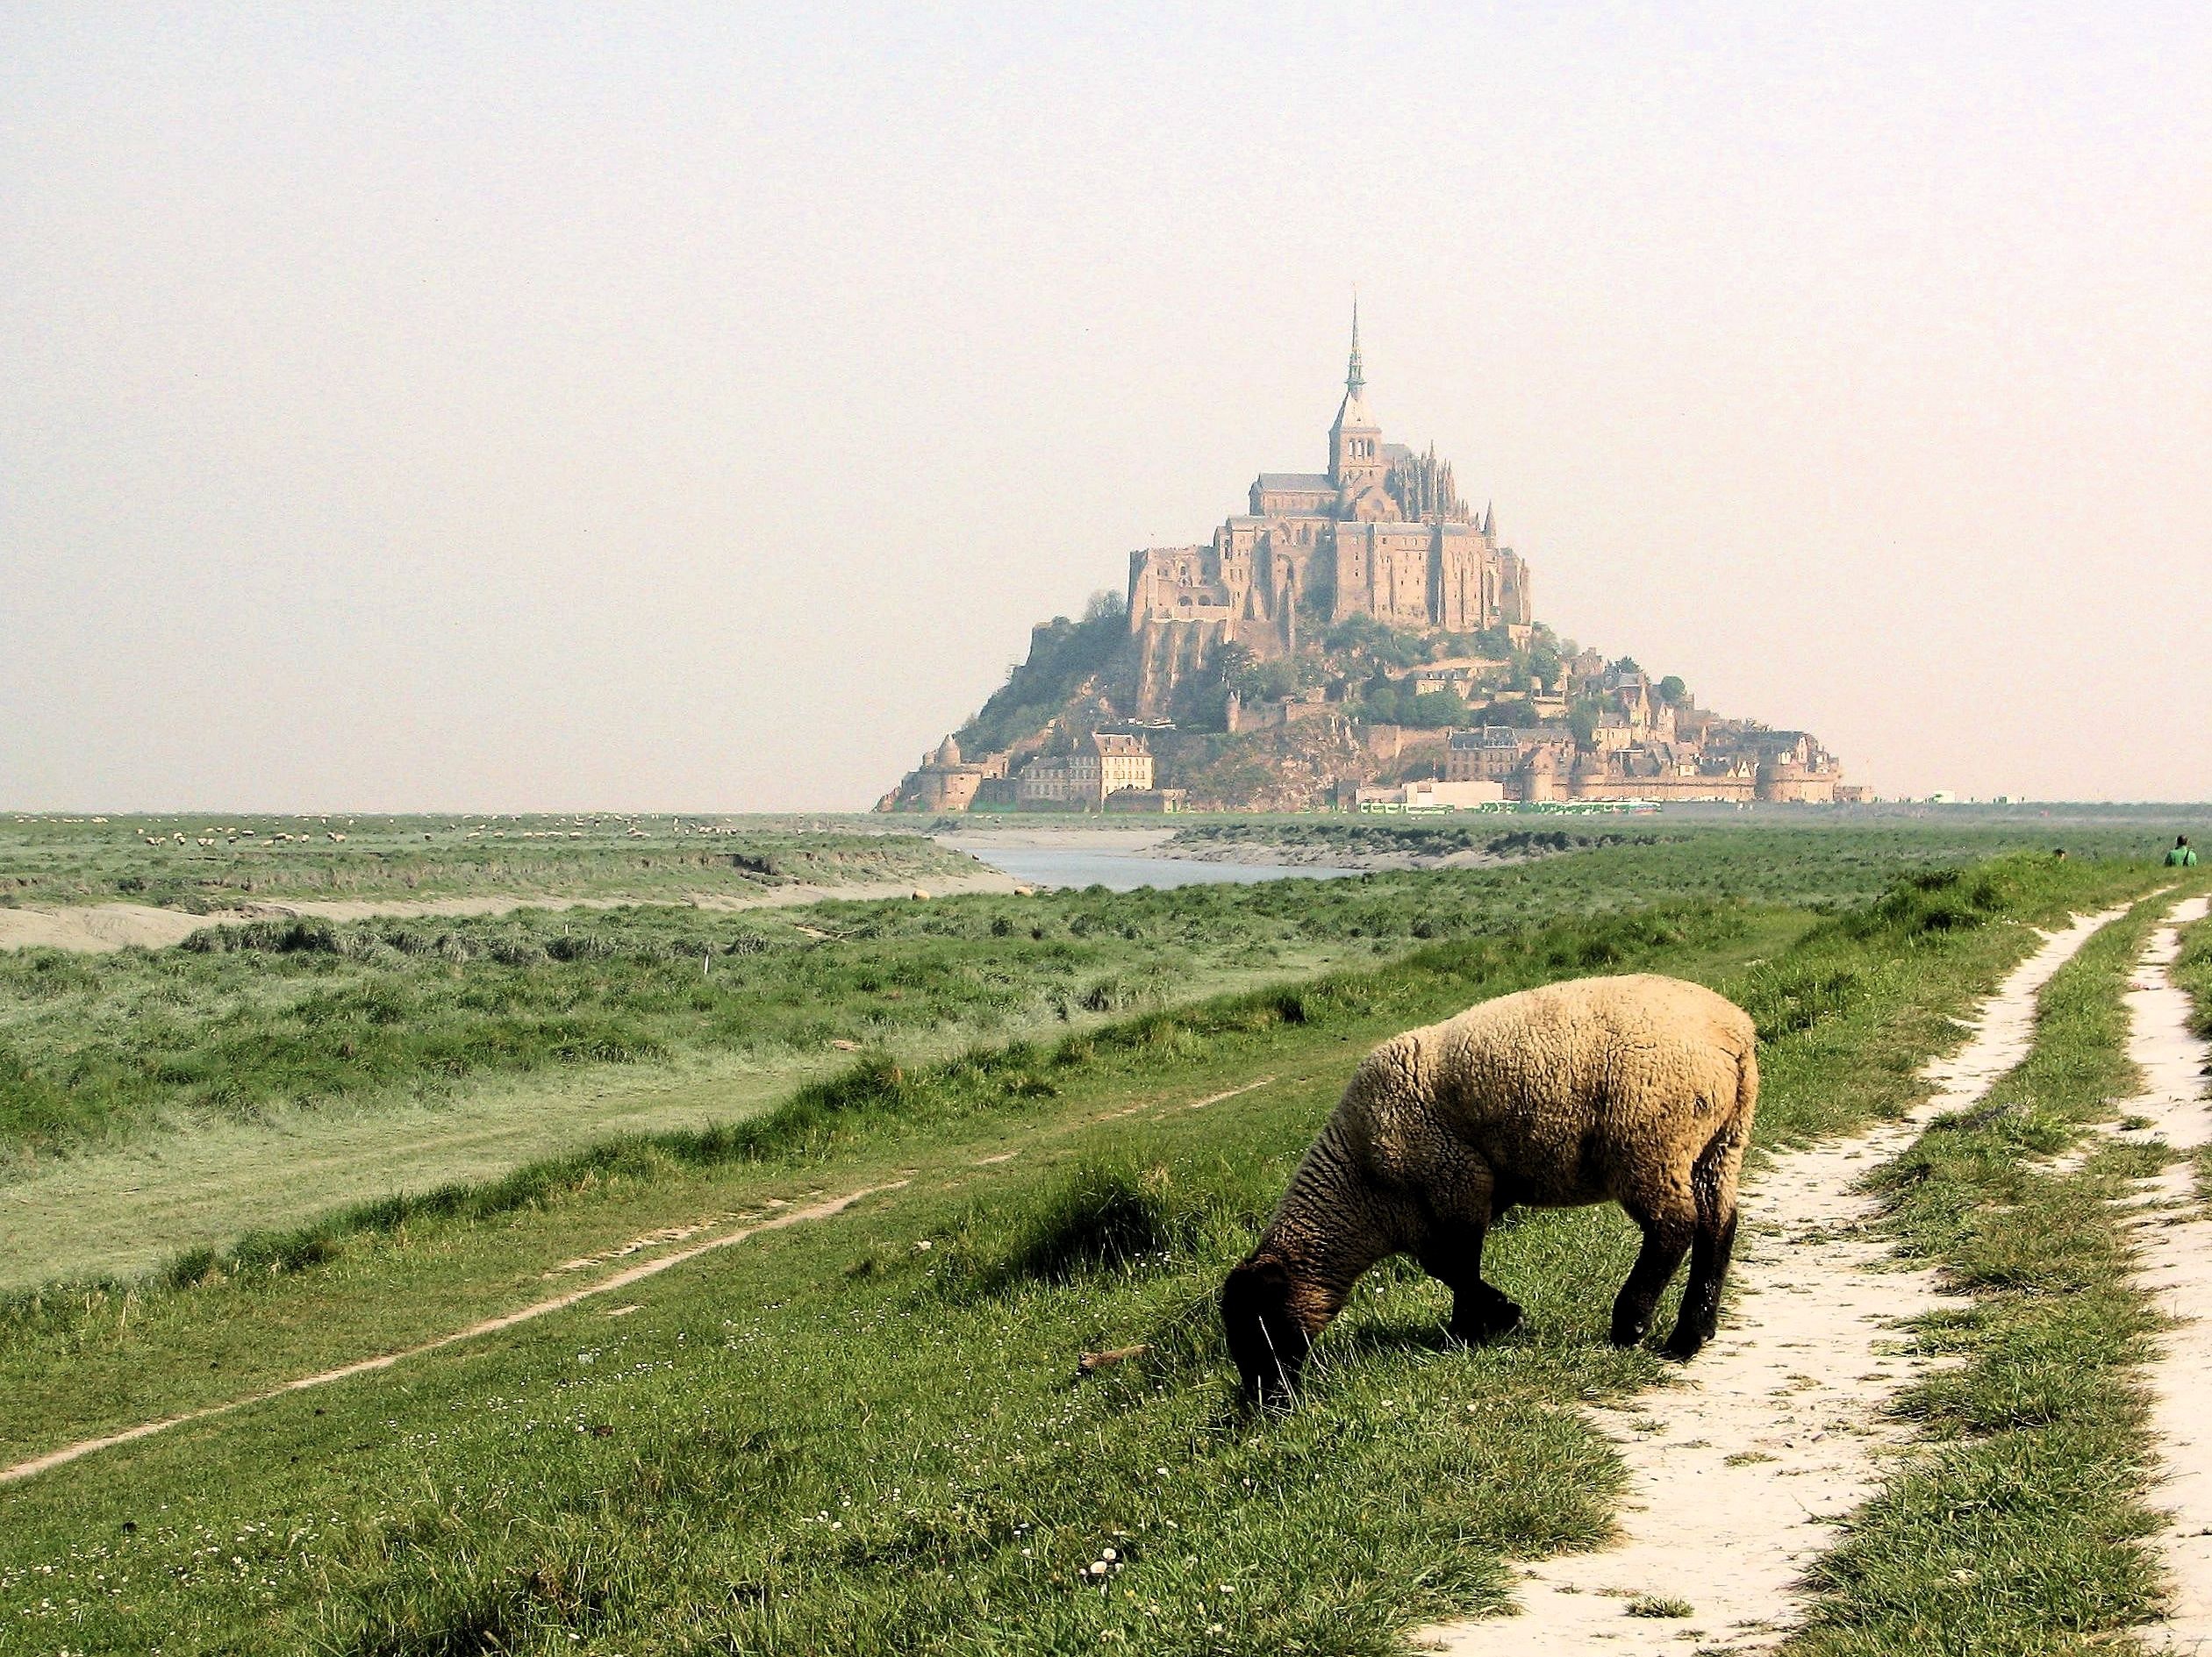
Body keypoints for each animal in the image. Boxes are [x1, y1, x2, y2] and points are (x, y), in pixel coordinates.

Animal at [1221, 968, 1751, 1407]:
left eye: (1259, 1324)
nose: (1266, 1402)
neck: (1362, 1184)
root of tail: (1733, 1032)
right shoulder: (1435, 1212)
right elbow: (1448, 1269)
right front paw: (1482, 1322)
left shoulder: (1457, 1184)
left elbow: (1458, 1266)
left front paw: (1487, 1323)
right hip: (1721, 1140)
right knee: (1718, 1225)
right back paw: (1692, 1333)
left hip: (1650, 1141)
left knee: (1673, 1229)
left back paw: (1631, 1324)